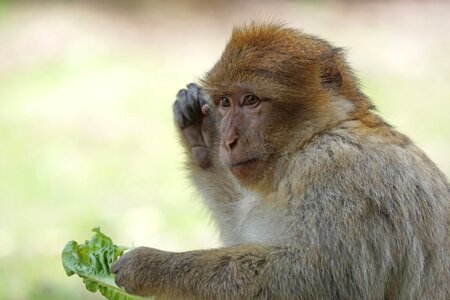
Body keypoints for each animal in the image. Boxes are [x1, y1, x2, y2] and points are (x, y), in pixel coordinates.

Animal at [110, 22, 448, 298]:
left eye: (251, 100)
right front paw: (203, 139)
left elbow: (315, 279)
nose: (228, 141)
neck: (311, 139)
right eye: (224, 102)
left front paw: (151, 265)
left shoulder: (337, 172)